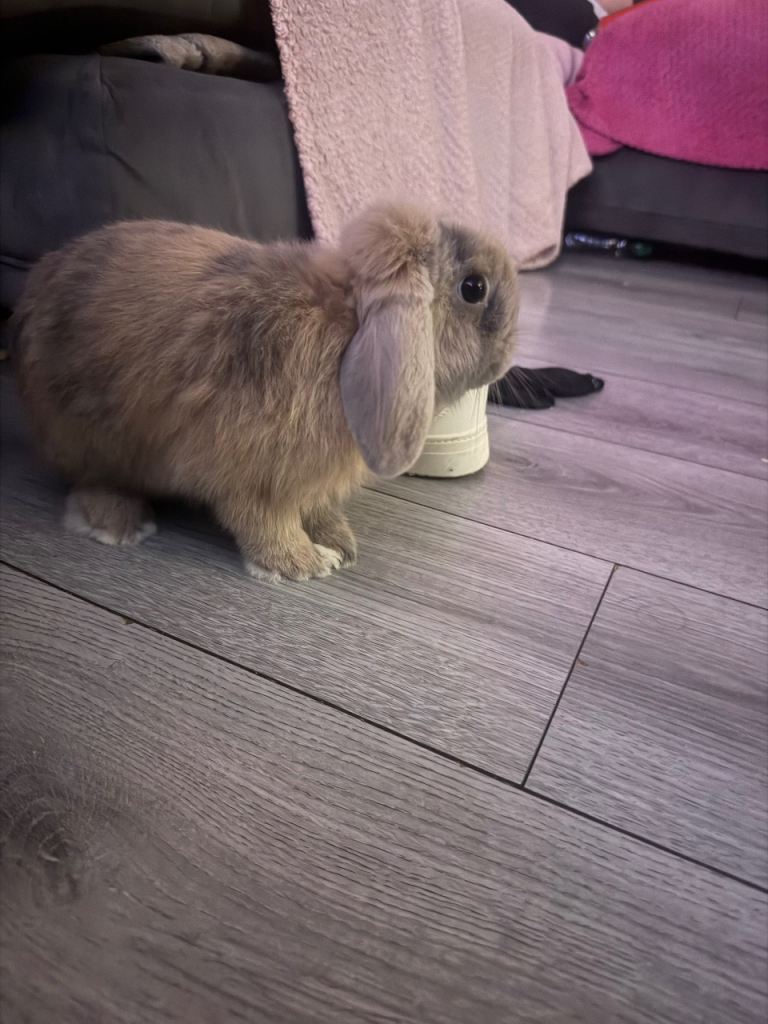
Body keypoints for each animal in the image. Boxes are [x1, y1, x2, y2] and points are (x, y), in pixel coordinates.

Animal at [13, 203, 519, 580]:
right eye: (473, 287)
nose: (508, 355)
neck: (347, 328)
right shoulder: (249, 472)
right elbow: (260, 520)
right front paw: (302, 563)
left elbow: (313, 506)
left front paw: (339, 542)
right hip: (89, 438)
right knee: (90, 481)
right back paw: (121, 525)